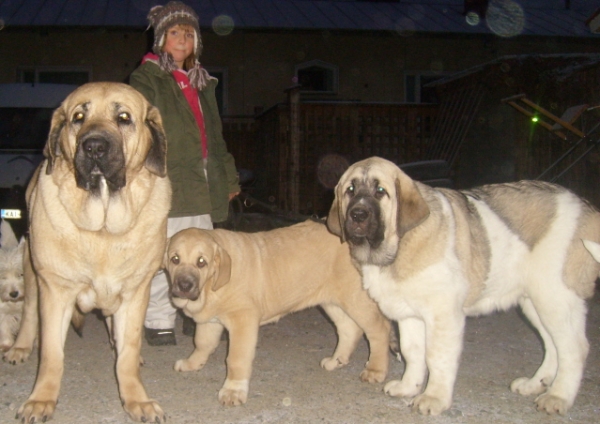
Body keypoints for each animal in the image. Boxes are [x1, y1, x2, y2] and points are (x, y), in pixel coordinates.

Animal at [5, 83, 171, 424]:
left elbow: (128, 350)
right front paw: (41, 400)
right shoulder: (56, 291)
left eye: (124, 118)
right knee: (28, 313)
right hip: (32, 273)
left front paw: (136, 398)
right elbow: (52, 354)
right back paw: (21, 347)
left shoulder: (135, 293)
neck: (103, 228)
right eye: (78, 118)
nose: (94, 146)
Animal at [164, 220, 390, 406]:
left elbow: (236, 358)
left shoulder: (243, 320)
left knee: (378, 330)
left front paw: (233, 390)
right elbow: (202, 343)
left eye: (201, 262)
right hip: (331, 301)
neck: (212, 284)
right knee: (348, 329)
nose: (184, 286)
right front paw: (192, 364)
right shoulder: (210, 322)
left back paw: (375, 370)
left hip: (355, 298)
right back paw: (336, 360)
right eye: (175, 259)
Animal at [328, 157, 600, 416]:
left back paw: (558, 397)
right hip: (534, 302)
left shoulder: (443, 315)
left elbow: (436, 357)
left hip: (556, 297)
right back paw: (535, 384)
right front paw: (408, 387)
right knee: (553, 345)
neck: (398, 246)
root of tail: (587, 207)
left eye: (380, 191)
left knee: (574, 348)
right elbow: (412, 351)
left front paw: (434, 398)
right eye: (350, 190)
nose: (358, 215)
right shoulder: (409, 315)